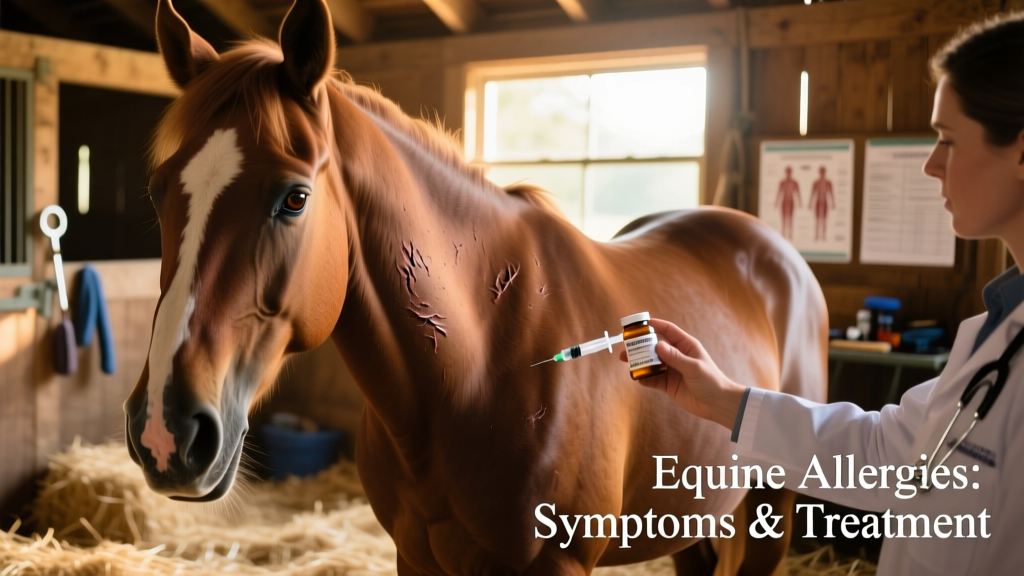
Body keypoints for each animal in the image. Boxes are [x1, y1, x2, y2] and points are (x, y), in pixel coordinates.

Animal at [123, 1, 828, 574]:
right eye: (159, 193)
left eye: (294, 198)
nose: (166, 430)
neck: (477, 367)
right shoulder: (415, 557)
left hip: (769, 514)